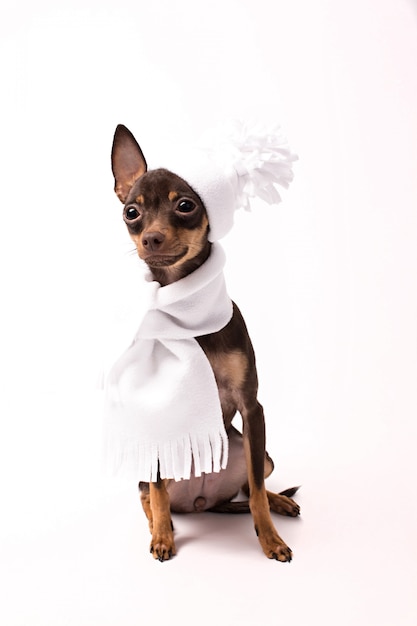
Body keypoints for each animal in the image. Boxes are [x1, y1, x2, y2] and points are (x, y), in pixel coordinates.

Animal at [110, 123, 300, 560]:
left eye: (185, 206)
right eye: (132, 212)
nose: (151, 238)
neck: (187, 309)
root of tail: (203, 501)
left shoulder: (251, 407)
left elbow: (257, 492)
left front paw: (270, 538)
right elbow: (157, 493)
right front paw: (163, 536)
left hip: (257, 449)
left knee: (254, 483)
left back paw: (281, 501)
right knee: (148, 493)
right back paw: (159, 526)